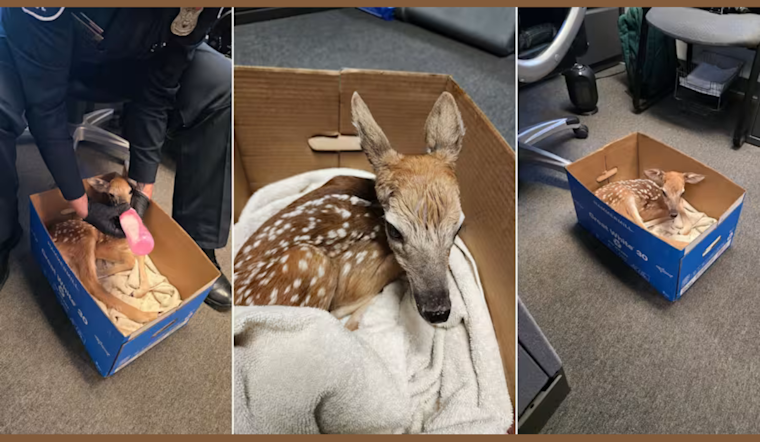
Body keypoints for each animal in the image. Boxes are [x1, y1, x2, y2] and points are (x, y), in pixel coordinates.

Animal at [48, 176, 157, 324]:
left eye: (130, 191)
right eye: (111, 194)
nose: (125, 207)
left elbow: (140, 262)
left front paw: (137, 292)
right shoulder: (101, 246)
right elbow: (130, 260)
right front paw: (105, 272)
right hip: (84, 236)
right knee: (91, 282)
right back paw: (148, 315)